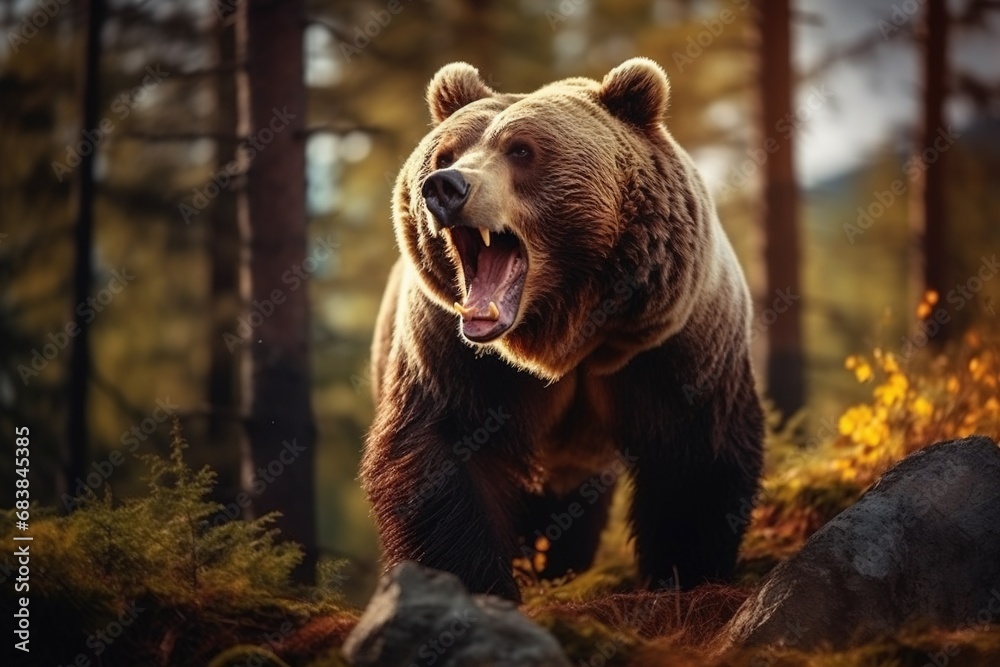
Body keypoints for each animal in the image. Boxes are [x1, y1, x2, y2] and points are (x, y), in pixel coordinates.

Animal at [362, 58, 764, 601]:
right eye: (444, 152)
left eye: (521, 150)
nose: (444, 187)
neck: (566, 337)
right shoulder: (449, 350)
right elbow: (443, 454)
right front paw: (476, 583)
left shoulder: (675, 341)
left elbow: (697, 455)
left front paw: (685, 571)